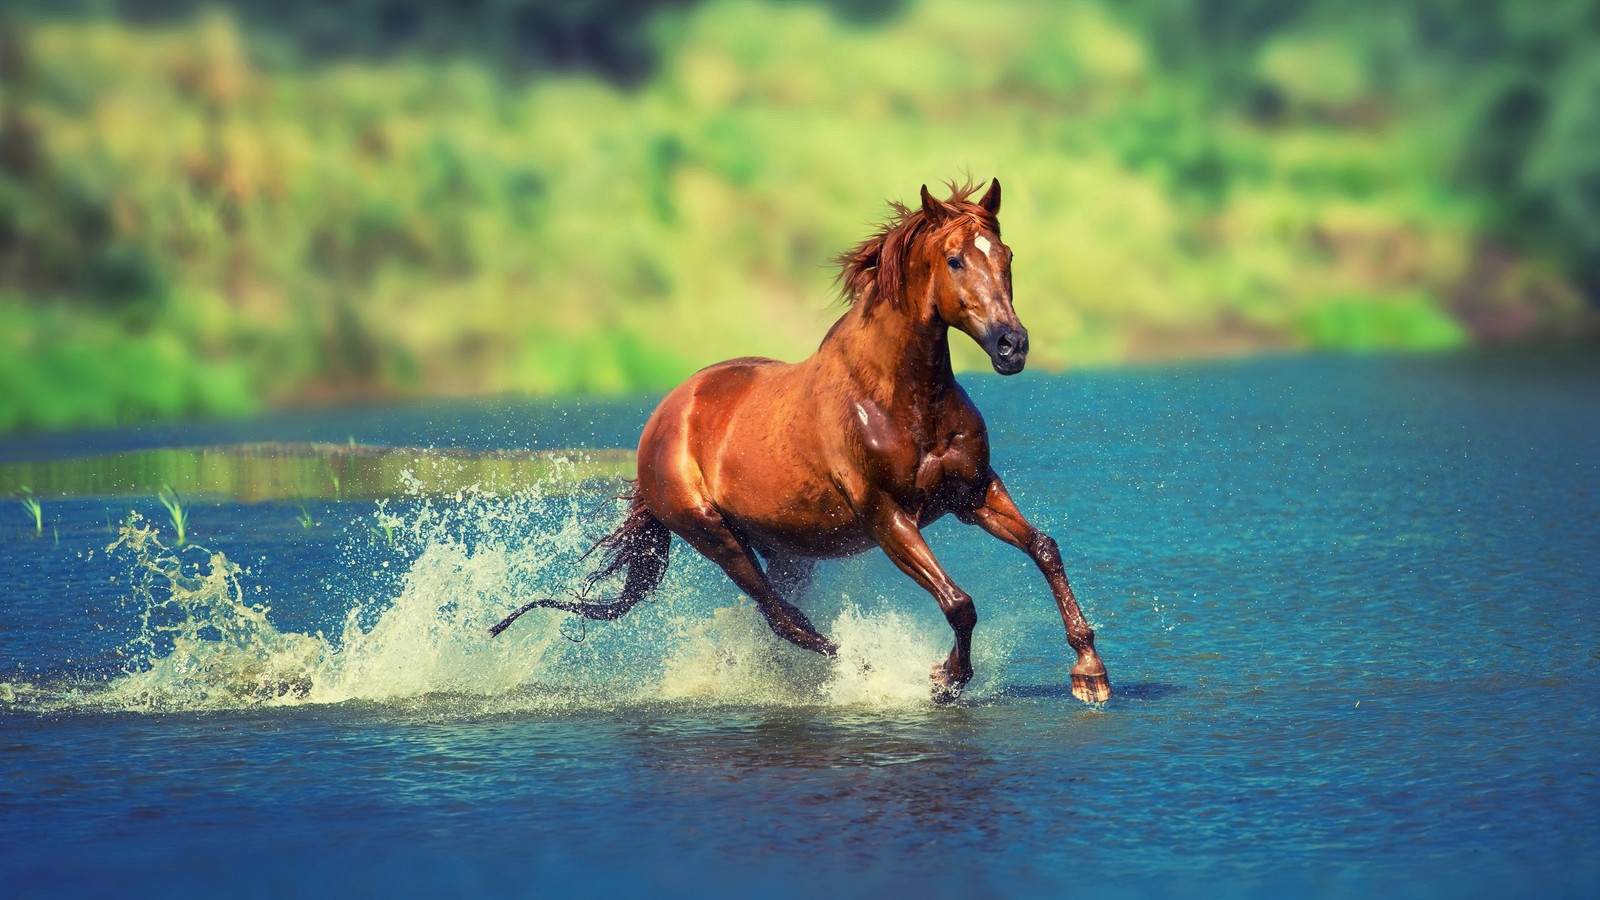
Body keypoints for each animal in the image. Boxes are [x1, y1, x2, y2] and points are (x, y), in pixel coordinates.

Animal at [496, 176, 1113, 701]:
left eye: (1006, 256)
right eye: (955, 258)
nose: (1012, 345)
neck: (899, 398)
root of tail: (662, 420)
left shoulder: (973, 492)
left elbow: (1044, 548)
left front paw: (1090, 673)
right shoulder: (887, 516)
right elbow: (959, 602)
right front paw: (945, 678)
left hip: (788, 548)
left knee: (778, 618)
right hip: (715, 536)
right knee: (784, 619)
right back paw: (868, 673)